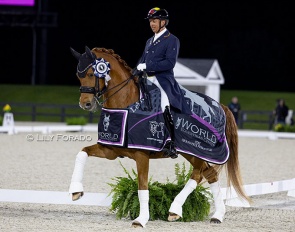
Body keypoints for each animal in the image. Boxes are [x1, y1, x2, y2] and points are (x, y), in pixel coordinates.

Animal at [69, 46, 252, 227]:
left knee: (198, 174)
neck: (126, 104)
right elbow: (82, 152)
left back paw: (175, 210)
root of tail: (219, 106)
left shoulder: (142, 155)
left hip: (197, 150)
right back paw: (217, 215)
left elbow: (143, 186)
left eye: (91, 74)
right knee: (210, 174)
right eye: (79, 76)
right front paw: (76, 191)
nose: (85, 104)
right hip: (191, 152)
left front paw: (141, 219)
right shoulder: (110, 150)